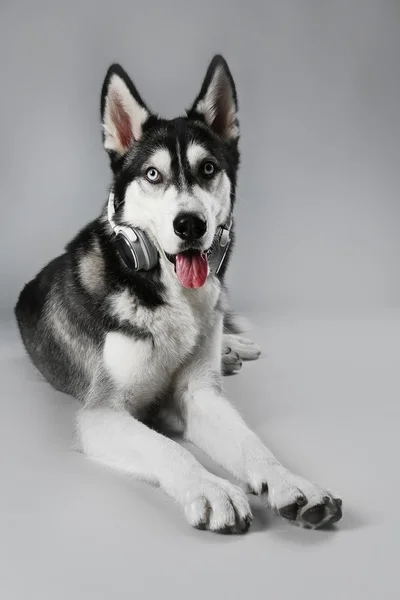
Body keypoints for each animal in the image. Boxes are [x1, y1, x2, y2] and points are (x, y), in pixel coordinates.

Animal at [14, 56, 342, 532]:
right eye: (153, 174)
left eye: (208, 169)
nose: (190, 225)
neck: (171, 297)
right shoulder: (102, 415)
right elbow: (168, 447)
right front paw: (211, 489)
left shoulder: (199, 396)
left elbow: (253, 444)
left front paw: (291, 483)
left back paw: (232, 347)